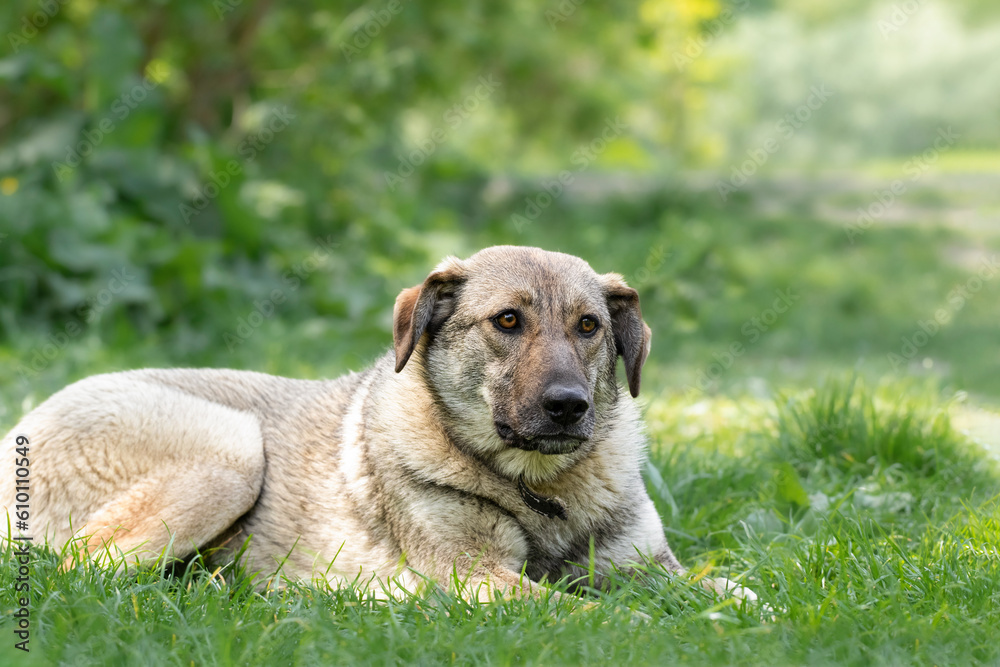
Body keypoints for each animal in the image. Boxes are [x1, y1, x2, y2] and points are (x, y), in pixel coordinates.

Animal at [1, 245, 756, 604]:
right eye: (508, 321)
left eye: (590, 326)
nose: (569, 405)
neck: (541, 488)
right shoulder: (479, 579)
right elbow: (591, 614)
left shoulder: (647, 567)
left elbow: (739, 591)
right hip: (232, 450)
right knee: (83, 570)